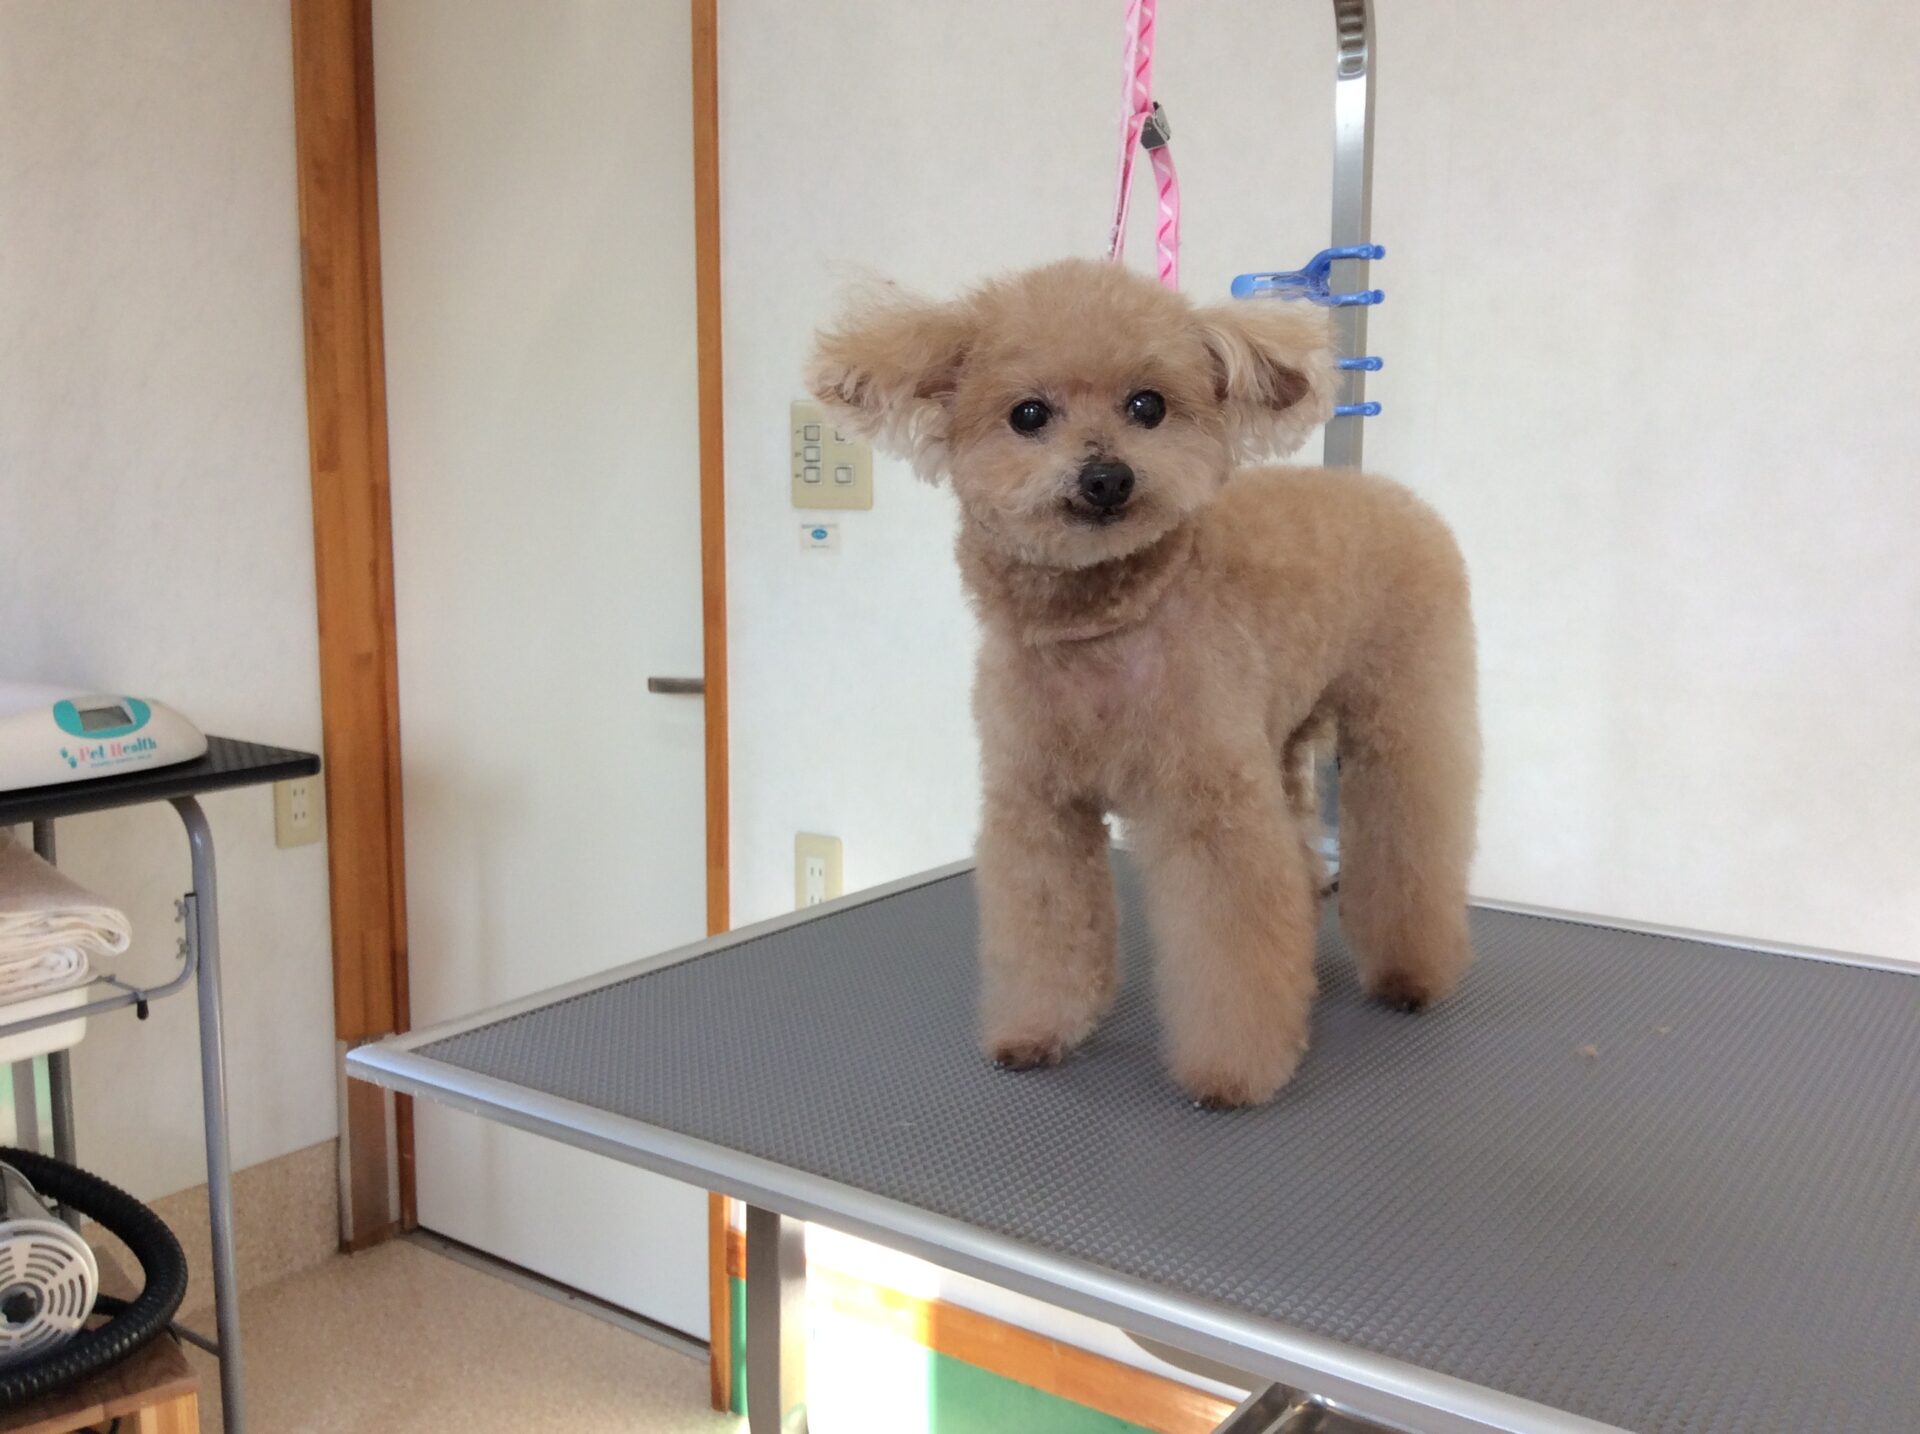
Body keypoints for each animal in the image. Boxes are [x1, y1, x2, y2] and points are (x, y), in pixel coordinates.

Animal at [808, 258, 1479, 1107]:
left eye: (1148, 405)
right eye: (1029, 414)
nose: (1106, 477)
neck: (1101, 624)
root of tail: (1390, 492)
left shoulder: (1209, 808)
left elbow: (1229, 942)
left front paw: (1233, 1071)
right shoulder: (1039, 806)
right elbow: (1048, 929)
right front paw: (1038, 1030)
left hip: (1401, 715)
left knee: (1413, 832)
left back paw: (1411, 972)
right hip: (1279, 735)